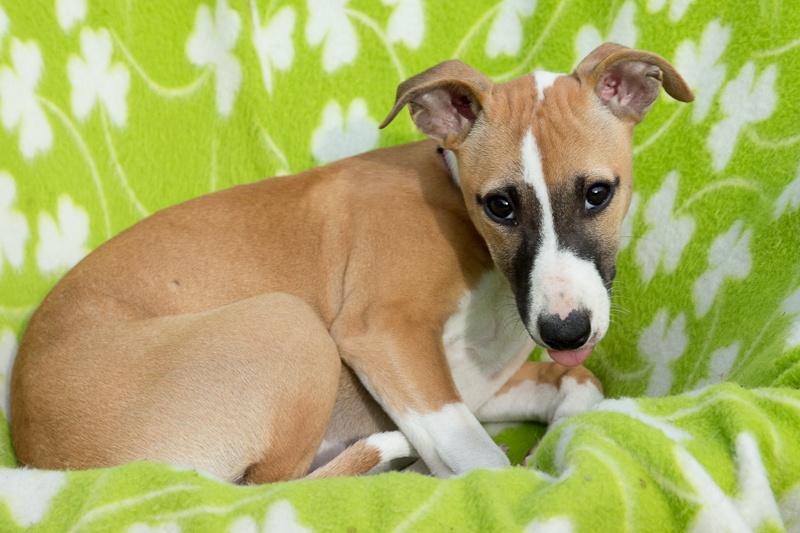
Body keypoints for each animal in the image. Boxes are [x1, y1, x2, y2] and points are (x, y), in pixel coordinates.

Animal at [10, 43, 693, 483]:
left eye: (598, 193)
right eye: (499, 205)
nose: (565, 331)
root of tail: (42, 459)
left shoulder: (472, 384)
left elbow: (581, 384)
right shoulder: (384, 336)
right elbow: (485, 461)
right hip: (287, 324)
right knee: (269, 490)